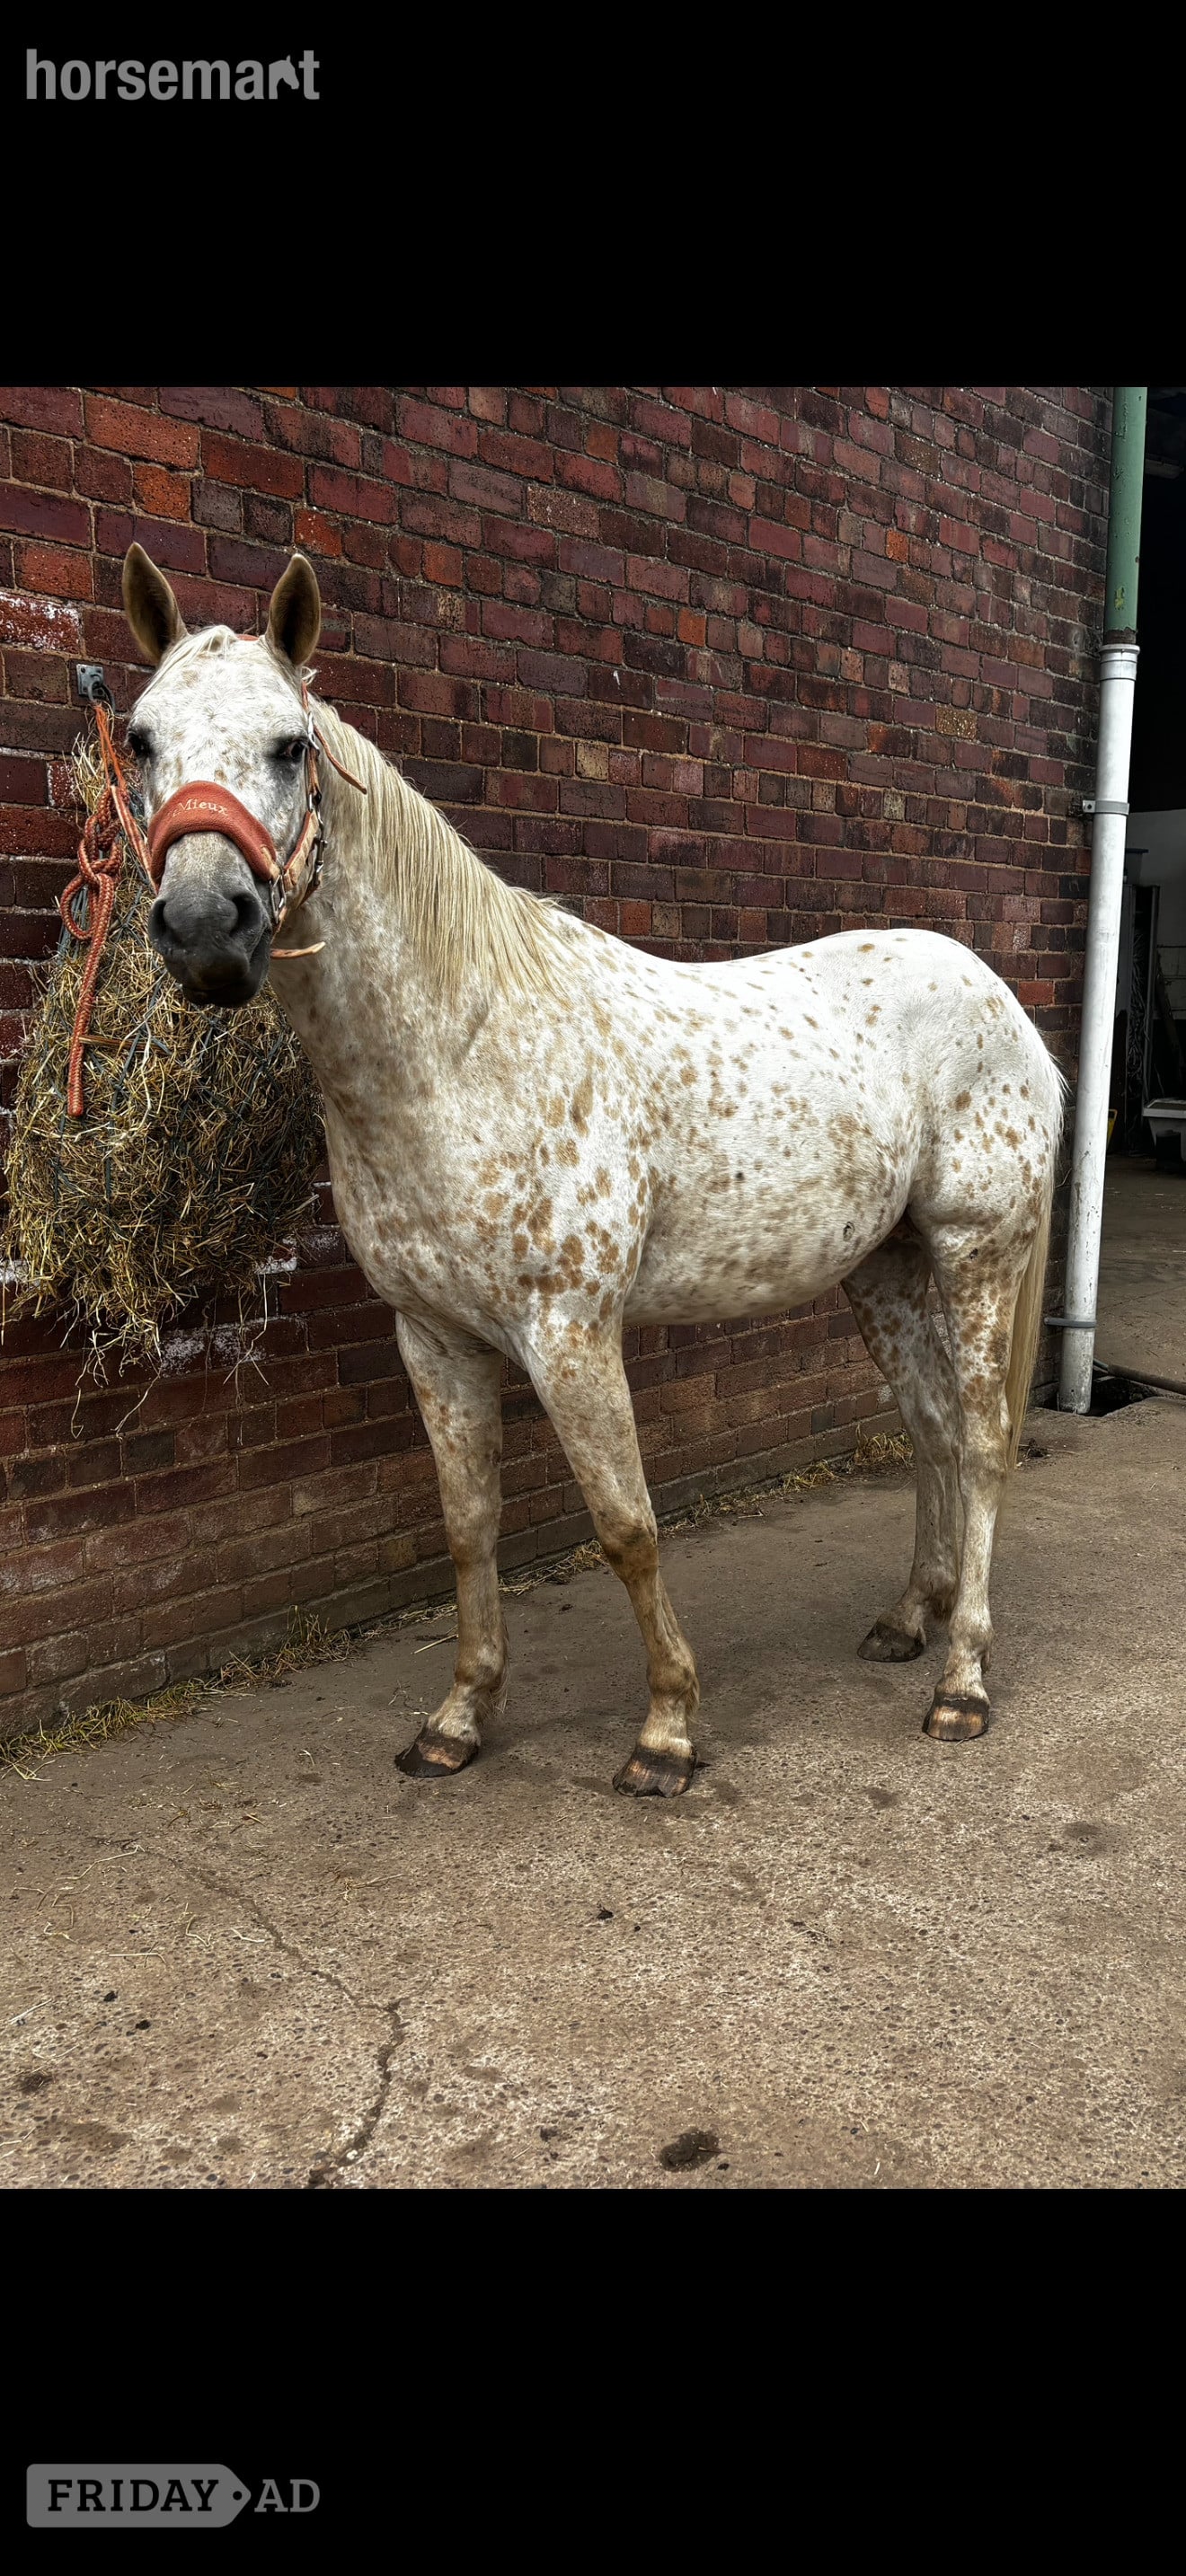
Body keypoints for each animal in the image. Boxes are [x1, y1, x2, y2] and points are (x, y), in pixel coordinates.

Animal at [120, 543, 1064, 1796]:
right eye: (140, 740)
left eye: (290, 745)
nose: (203, 929)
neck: (458, 1052)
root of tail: (1000, 1003)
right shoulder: (435, 1337)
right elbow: (468, 1528)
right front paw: (458, 1719)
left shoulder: (569, 1331)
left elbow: (626, 1526)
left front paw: (666, 1732)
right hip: (885, 1268)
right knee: (931, 1429)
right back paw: (911, 1619)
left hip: (974, 1253)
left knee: (986, 1438)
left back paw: (962, 1681)